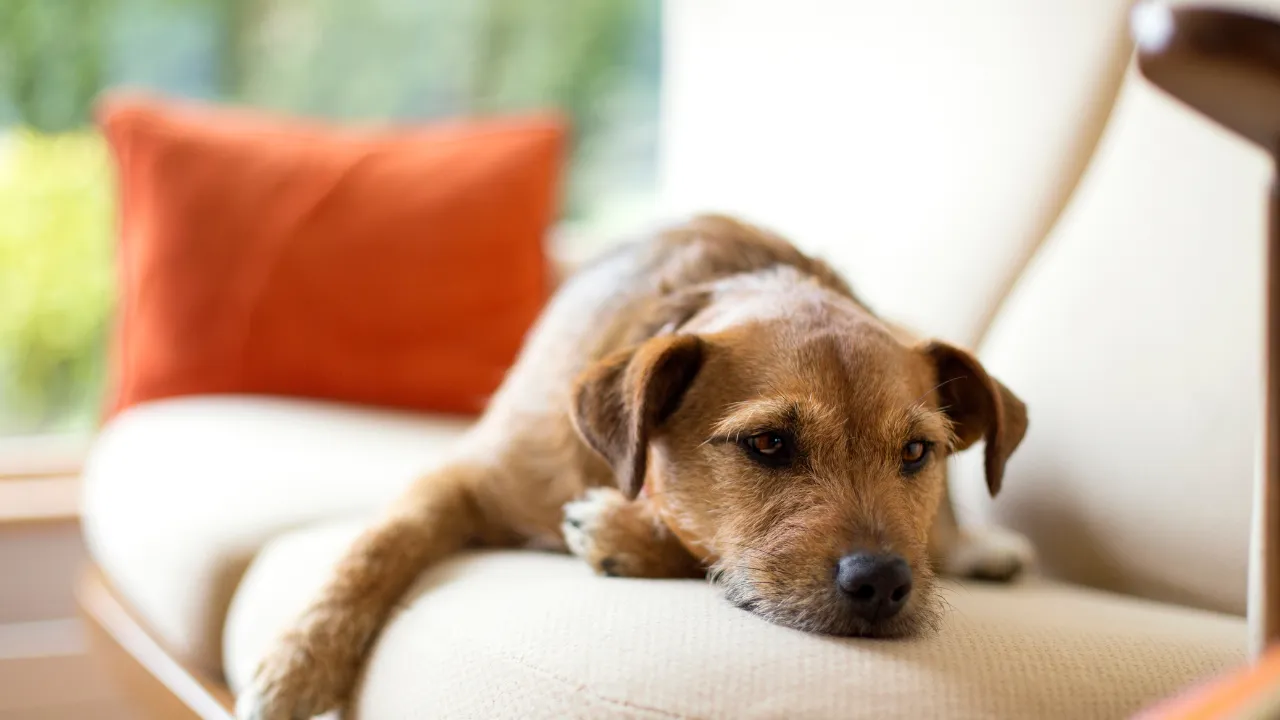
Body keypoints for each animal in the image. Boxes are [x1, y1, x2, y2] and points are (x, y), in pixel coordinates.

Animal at [238, 213, 1029, 717]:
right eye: (769, 444)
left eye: (917, 452)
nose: (884, 582)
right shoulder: (465, 478)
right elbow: (377, 546)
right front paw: (299, 661)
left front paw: (623, 535)